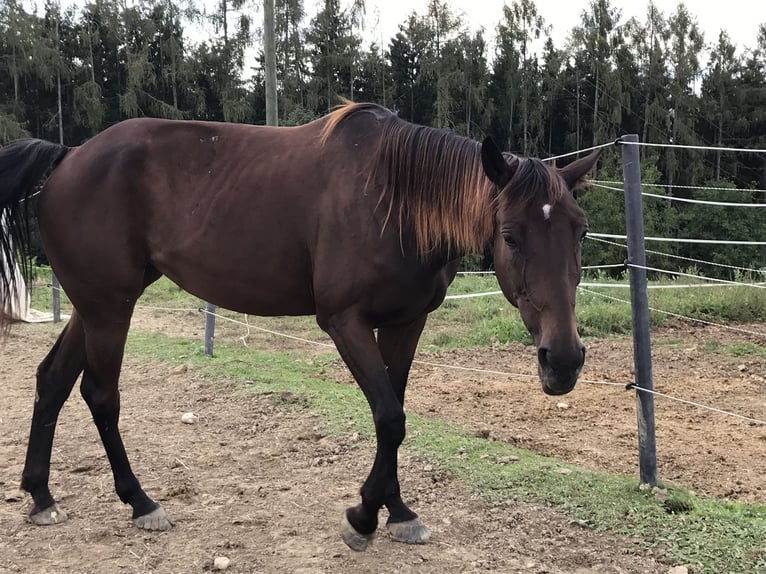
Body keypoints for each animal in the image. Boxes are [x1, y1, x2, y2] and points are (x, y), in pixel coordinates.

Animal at [0, 103, 600, 552]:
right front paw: (362, 517)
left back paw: (41, 496)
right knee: (100, 394)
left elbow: (397, 411)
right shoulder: (344, 322)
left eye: (580, 230)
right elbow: (389, 417)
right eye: (511, 234)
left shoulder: (405, 323)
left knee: (52, 380)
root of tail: (70, 156)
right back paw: (141, 503)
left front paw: (398, 511)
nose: (564, 361)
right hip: (109, 306)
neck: (393, 199)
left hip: (94, 305)